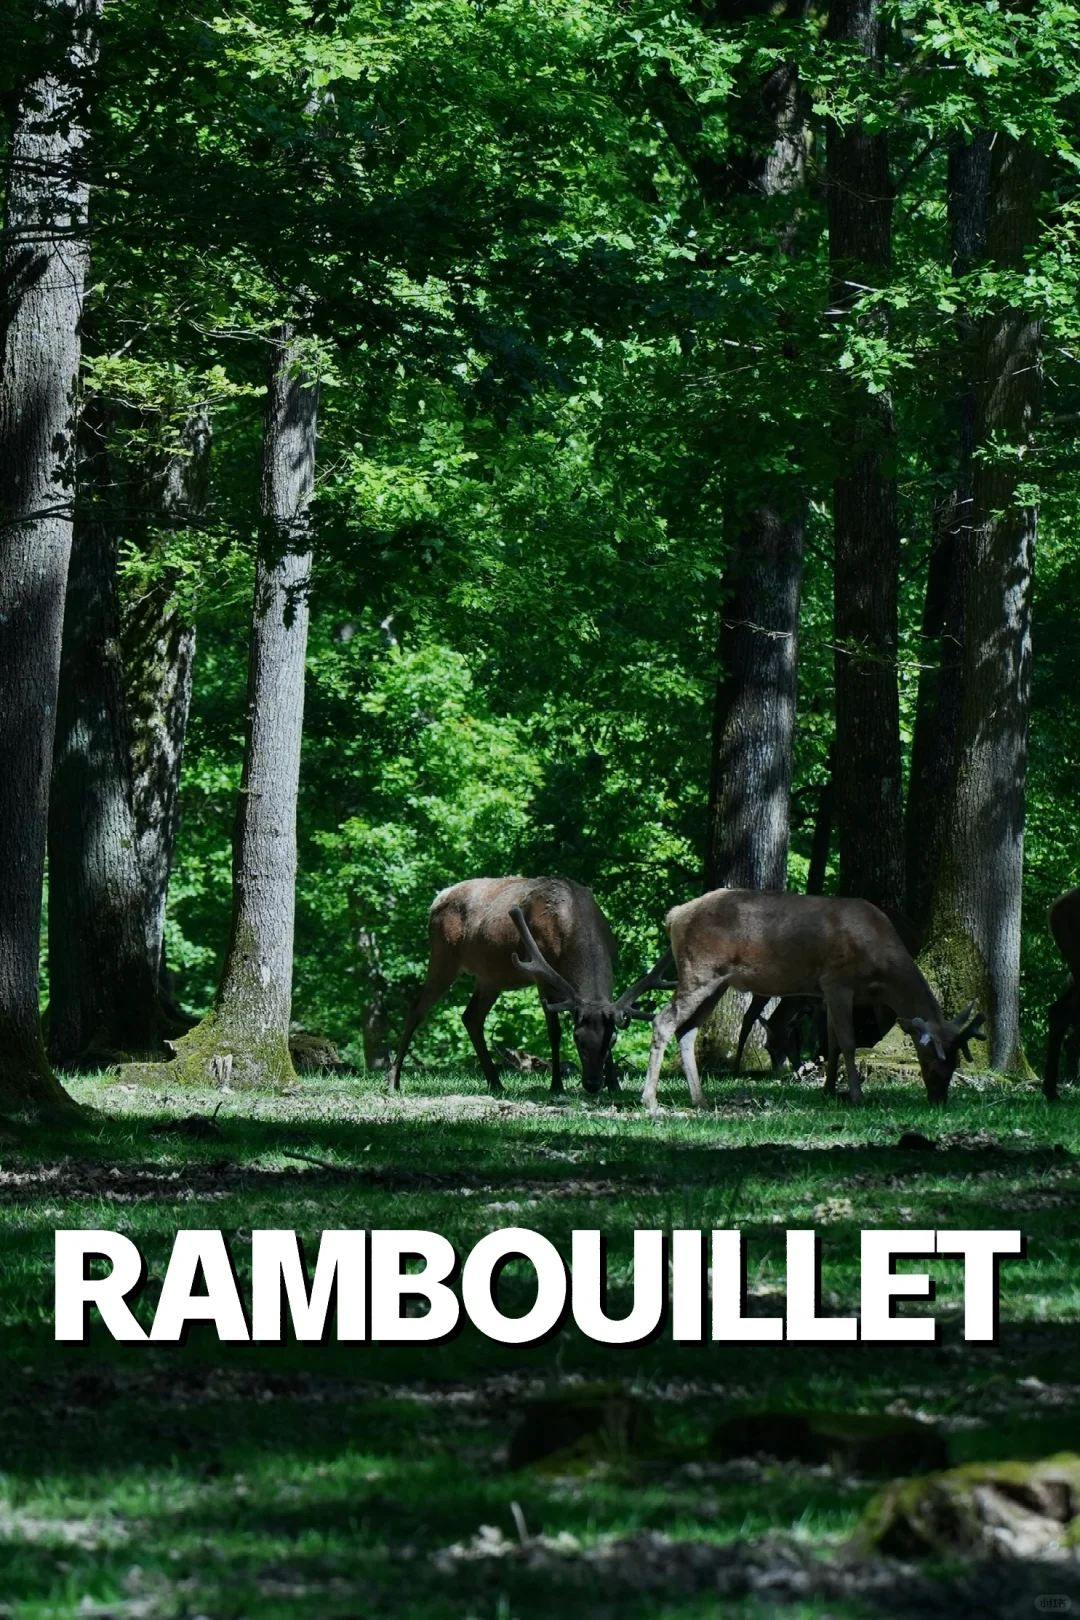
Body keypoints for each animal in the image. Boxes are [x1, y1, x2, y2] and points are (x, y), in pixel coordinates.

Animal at [387, 876, 674, 1096]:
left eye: (612, 1040)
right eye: (577, 1039)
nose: (593, 1084)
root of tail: (438, 898)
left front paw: (615, 1085)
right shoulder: (541, 978)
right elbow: (554, 1031)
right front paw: (556, 1085)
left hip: (490, 977)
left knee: (471, 1017)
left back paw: (495, 1082)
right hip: (443, 955)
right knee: (417, 1008)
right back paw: (393, 1081)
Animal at [641, 888, 984, 1111]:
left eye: (956, 1061)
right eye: (930, 1058)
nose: (939, 1099)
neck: (881, 971)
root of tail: (673, 916)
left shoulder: (826, 993)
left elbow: (831, 1043)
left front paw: (829, 1090)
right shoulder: (837, 981)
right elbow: (847, 1041)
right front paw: (857, 1096)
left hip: (718, 982)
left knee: (688, 1030)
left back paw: (699, 1099)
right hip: (699, 970)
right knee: (663, 1021)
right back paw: (651, 1102)